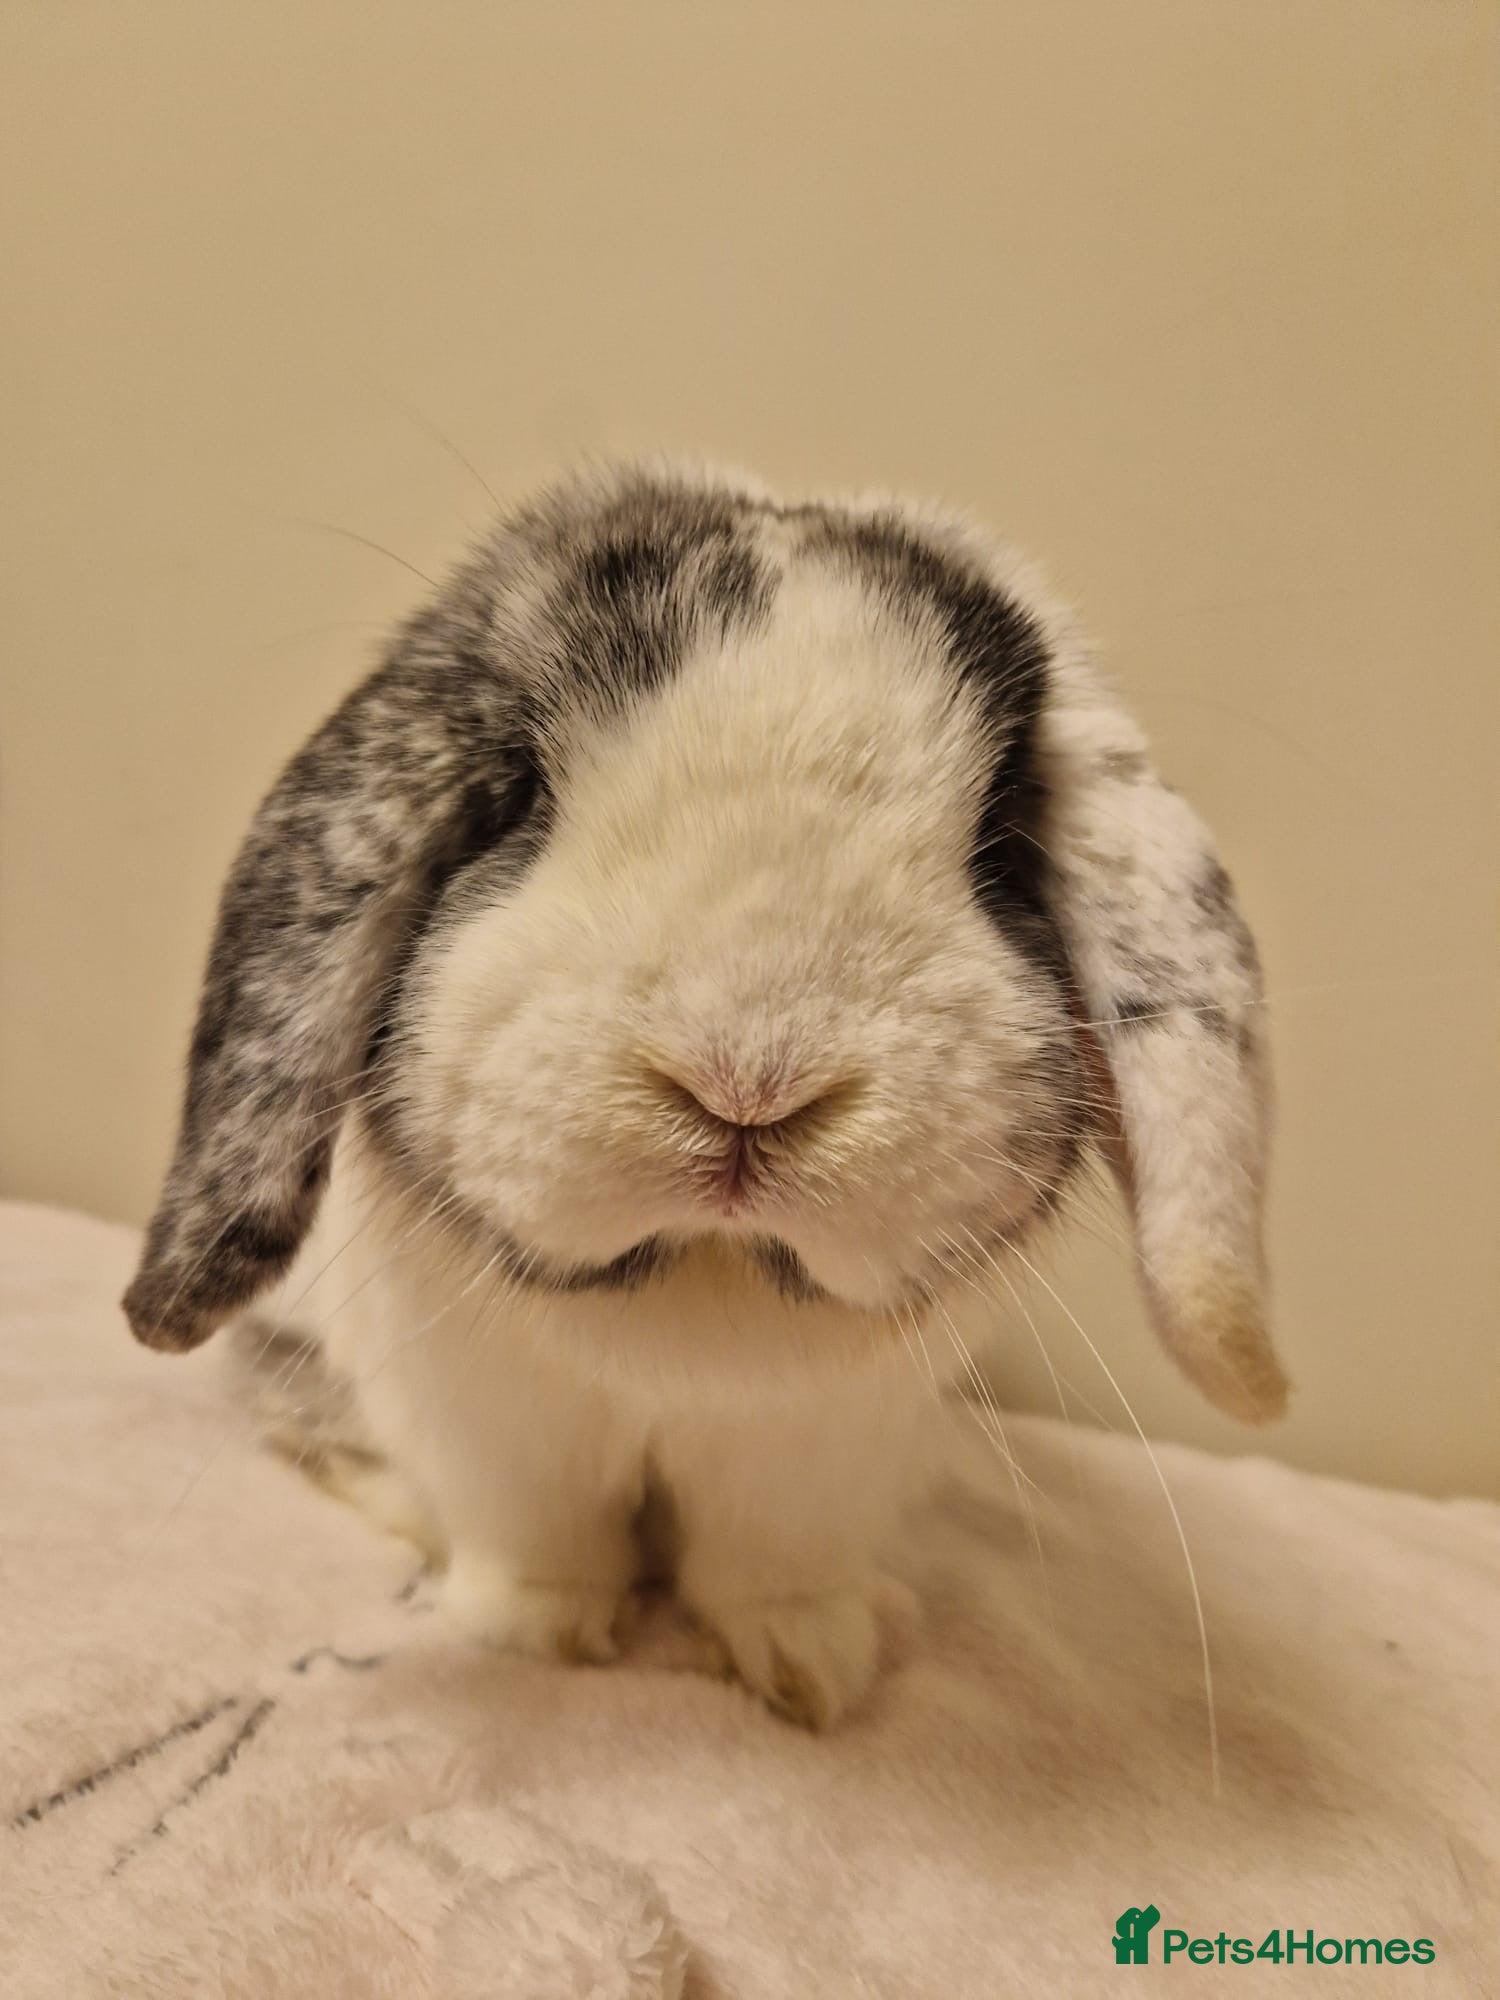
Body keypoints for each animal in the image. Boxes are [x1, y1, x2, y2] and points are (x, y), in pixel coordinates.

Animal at [123, 460, 1288, 1729]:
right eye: (517, 792)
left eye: (999, 837)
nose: (748, 1083)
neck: (700, 1289)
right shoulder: (494, 1424)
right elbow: (539, 1543)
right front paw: (536, 1639)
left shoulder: (821, 1451)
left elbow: (775, 1567)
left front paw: (815, 1674)